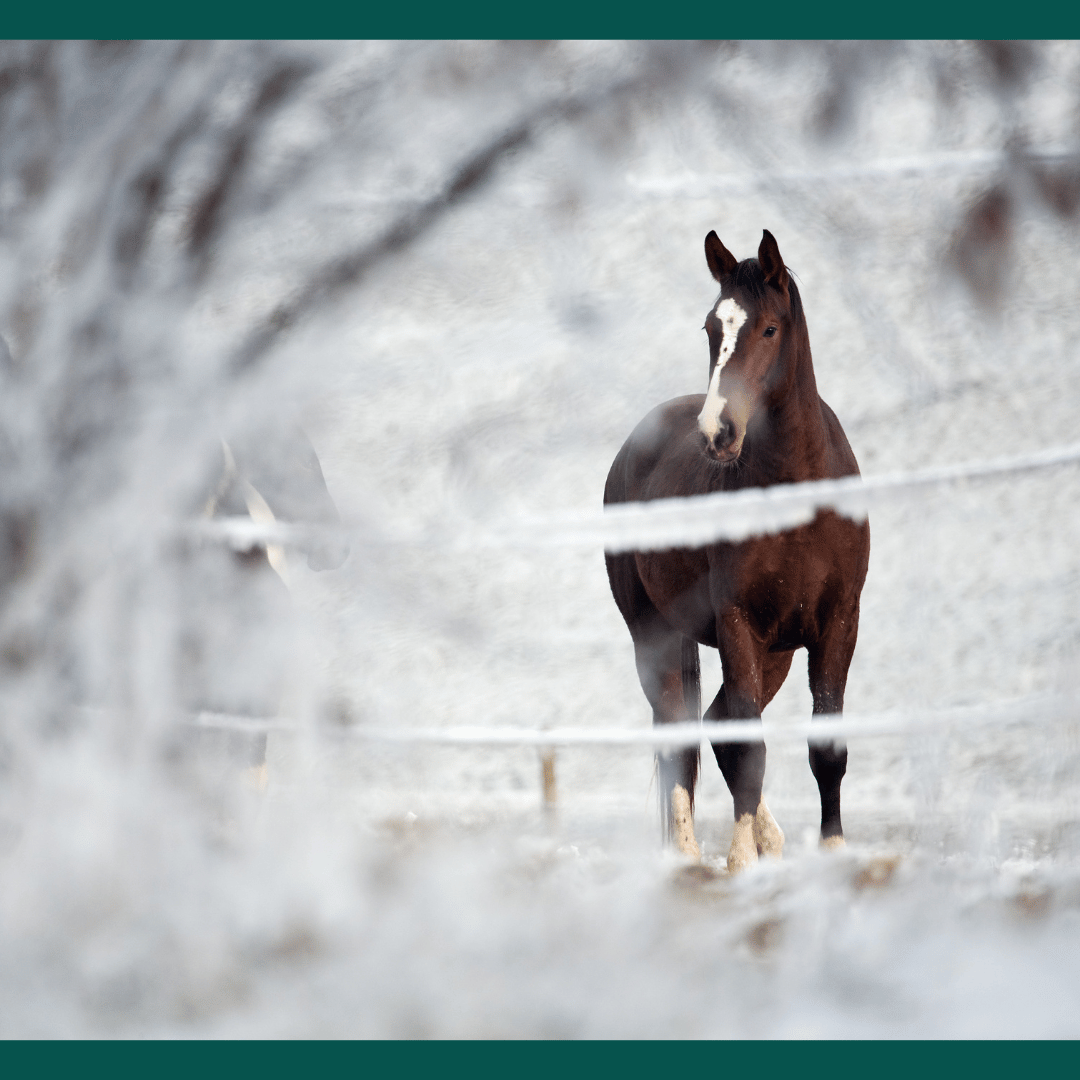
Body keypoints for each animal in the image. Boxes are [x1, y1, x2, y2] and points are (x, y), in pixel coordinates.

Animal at [604, 230, 870, 873]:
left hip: (774, 653)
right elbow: (748, 745)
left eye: (770, 329)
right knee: (680, 732)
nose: (718, 432)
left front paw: (831, 851)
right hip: (654, 636)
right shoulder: (737, 623)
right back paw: (688, 853)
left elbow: (825, 746)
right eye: (710, 328)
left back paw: (767, 839)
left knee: (715, 721)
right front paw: (741, 861)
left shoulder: (837, 623)